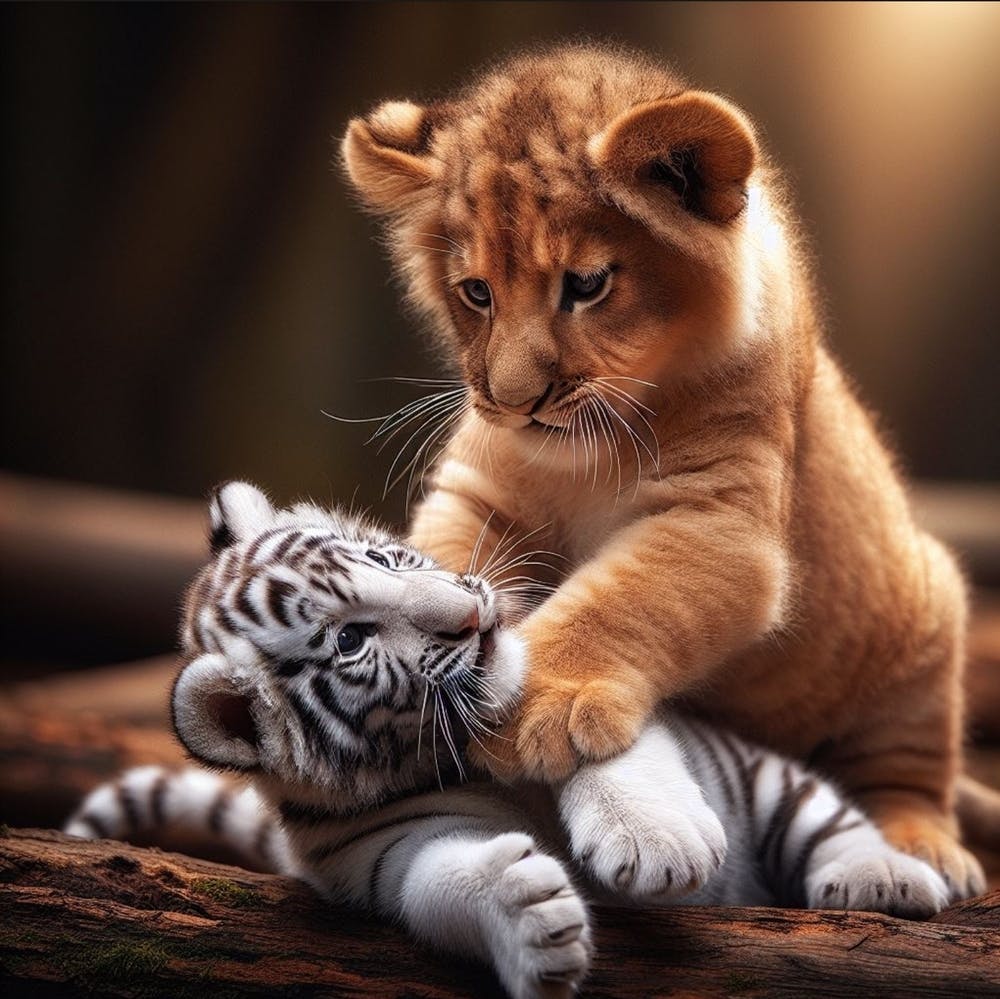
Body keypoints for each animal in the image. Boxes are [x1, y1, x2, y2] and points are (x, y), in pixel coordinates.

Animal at [66, 481, 948, 999]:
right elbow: (444, 880)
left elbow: (608, 746)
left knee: (827, 818)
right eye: (350, 639)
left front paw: (656, 841)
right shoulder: (380, 854)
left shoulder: (582, 688)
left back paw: (883, 876)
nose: (472, 614)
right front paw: (532, 917)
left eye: (386, 556)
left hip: (763, 778)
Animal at [339, 41, 988, 899]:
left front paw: (534, 707)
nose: (512, 402)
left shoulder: (720, 521)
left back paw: (925, 846)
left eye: (586, 285)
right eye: (475, 292)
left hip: (926, 627)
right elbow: (448, 568)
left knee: (908, 769)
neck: (586, 452)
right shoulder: (480, 498)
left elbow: (625, 599)